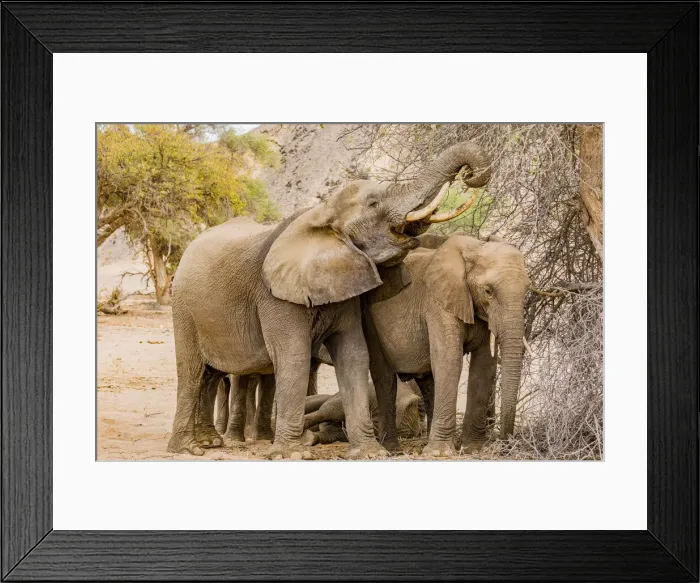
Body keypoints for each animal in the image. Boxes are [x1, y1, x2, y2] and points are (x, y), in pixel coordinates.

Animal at [167, 141, 492, 459]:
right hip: (182, 307)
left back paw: (209, 442)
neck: (321, 215)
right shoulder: (274, 295)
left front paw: (369, 453)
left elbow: (353, 354)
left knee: (210, 374)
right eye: (373, 204)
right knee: (192, 370)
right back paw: (188, 448)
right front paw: (291, 454)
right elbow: (293, 355)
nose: (470, 175)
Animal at [364, 233, 530, 456]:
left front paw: (473, 449)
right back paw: (392, 450)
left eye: (527, 288)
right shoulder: (438, 303)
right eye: (488, 291)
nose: (505, 446)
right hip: (369, 321)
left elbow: (483, 365)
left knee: (428, 382)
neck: (474, 247)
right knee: (384, 378)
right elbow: (449, 359)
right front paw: (439, 453)